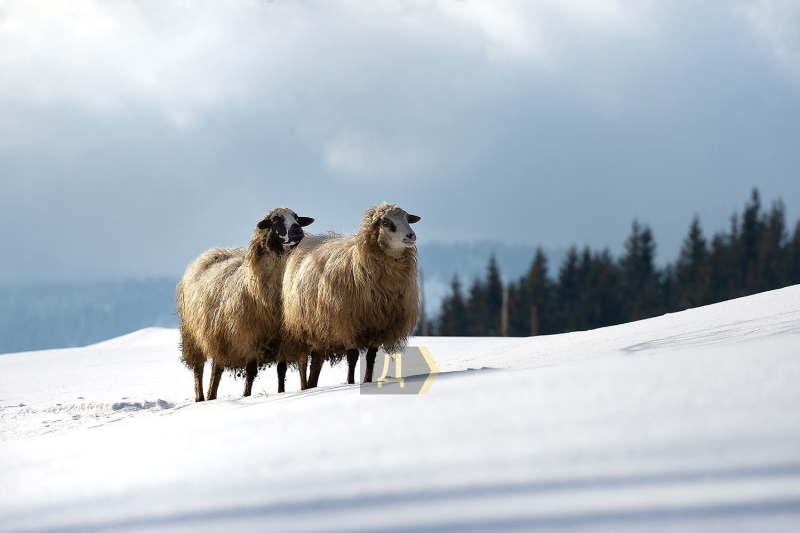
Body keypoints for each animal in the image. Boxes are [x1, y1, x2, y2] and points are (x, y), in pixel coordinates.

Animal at [177, 206, 314, 402]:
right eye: (275, 220)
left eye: (296, 217)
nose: (298, 231)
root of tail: (211, 253)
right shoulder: (249, 337)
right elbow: (250, 371)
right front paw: (246, 396)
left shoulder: (288, 337)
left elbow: (288, 369)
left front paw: (296, 390)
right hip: (192, 335)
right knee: (199, 369)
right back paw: (201, 397)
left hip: (219, 335)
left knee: (216, 370)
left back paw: (211, 395)